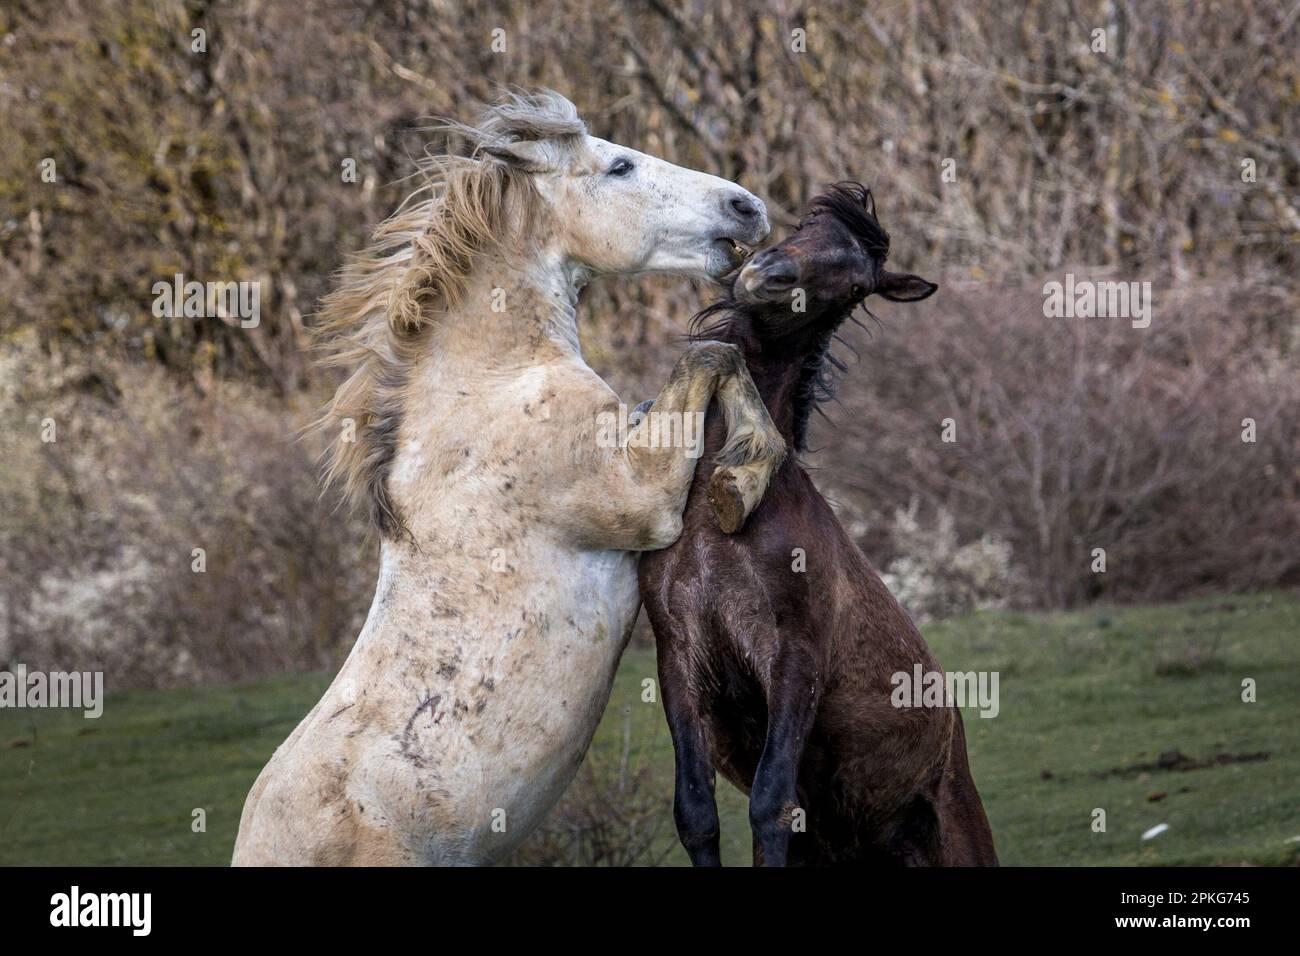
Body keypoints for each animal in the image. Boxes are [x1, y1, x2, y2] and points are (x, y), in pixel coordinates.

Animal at [232, 91, 786, 866]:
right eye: (619, 166)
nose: (746, 207)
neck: (494, 383)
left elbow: (715, 358)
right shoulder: (642, 494)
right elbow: (710, 354)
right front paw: (742, 480)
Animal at [638, 183, 998, 866]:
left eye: (856, 282)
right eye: (806, 225)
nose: (768, 274)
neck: (716, 526)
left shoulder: (795, 660)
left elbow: (772, 805)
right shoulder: (679, 658)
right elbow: (694, 812)